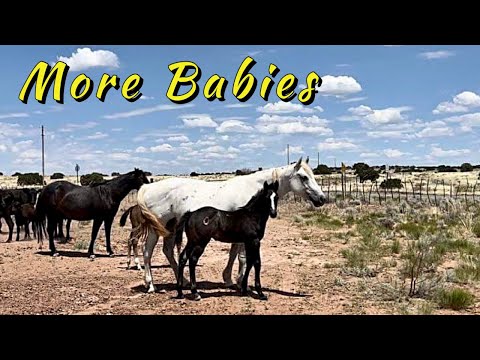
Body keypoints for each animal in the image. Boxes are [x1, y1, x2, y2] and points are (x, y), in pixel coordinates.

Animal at [137, 156, 328, 294]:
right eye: (303, 177)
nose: (322, 199)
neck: (252, 190)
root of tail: (147, 188)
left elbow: (234, 254)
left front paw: (229, 279)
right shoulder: (246, 236)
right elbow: (243, 257)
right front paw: (242, 283)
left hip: (170, 228)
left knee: (168, 251)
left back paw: (182, 281)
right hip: (157, 229)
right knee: (147, 252)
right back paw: (151, 285)